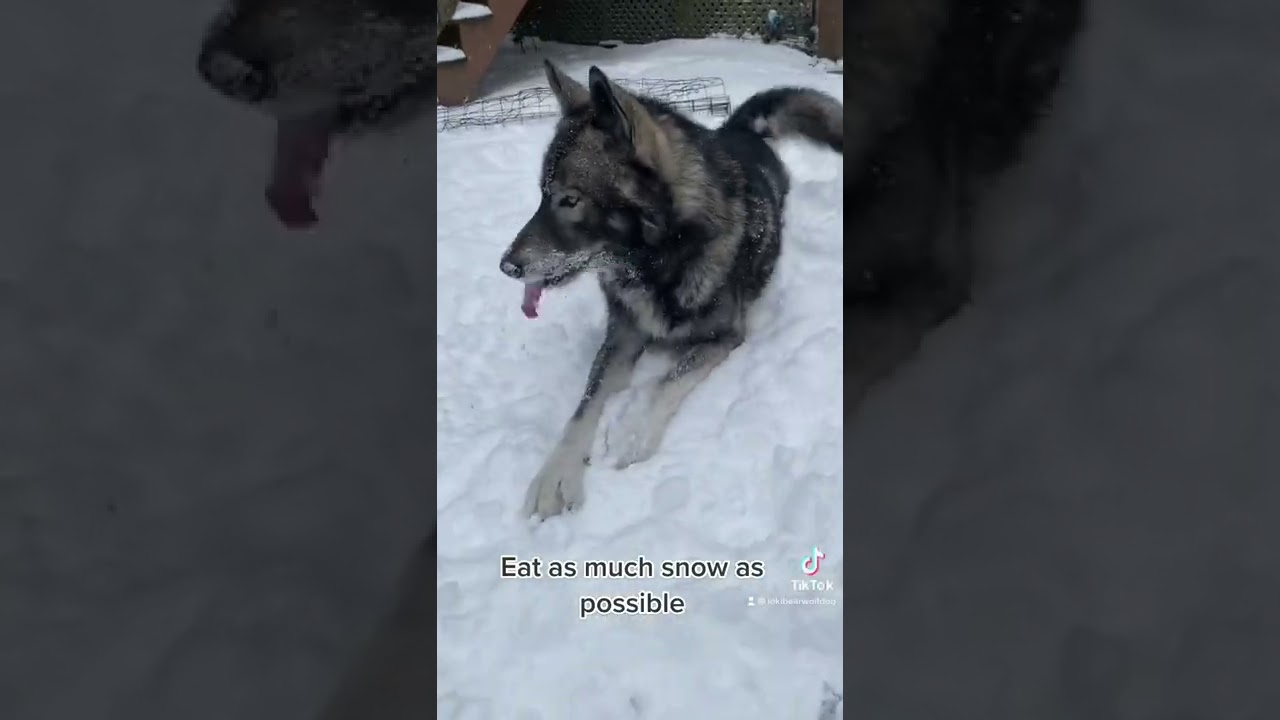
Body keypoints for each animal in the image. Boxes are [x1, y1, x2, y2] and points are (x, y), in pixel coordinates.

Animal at [500, 62, 843, 519]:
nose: (506, 266)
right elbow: (585, 405)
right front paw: (555, 473)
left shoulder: (723, 337)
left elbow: (666, 380)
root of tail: (736, 129)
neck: (657, 262)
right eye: (542, 194)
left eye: (570, 200)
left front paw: (629, 432)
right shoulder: (622, 337)